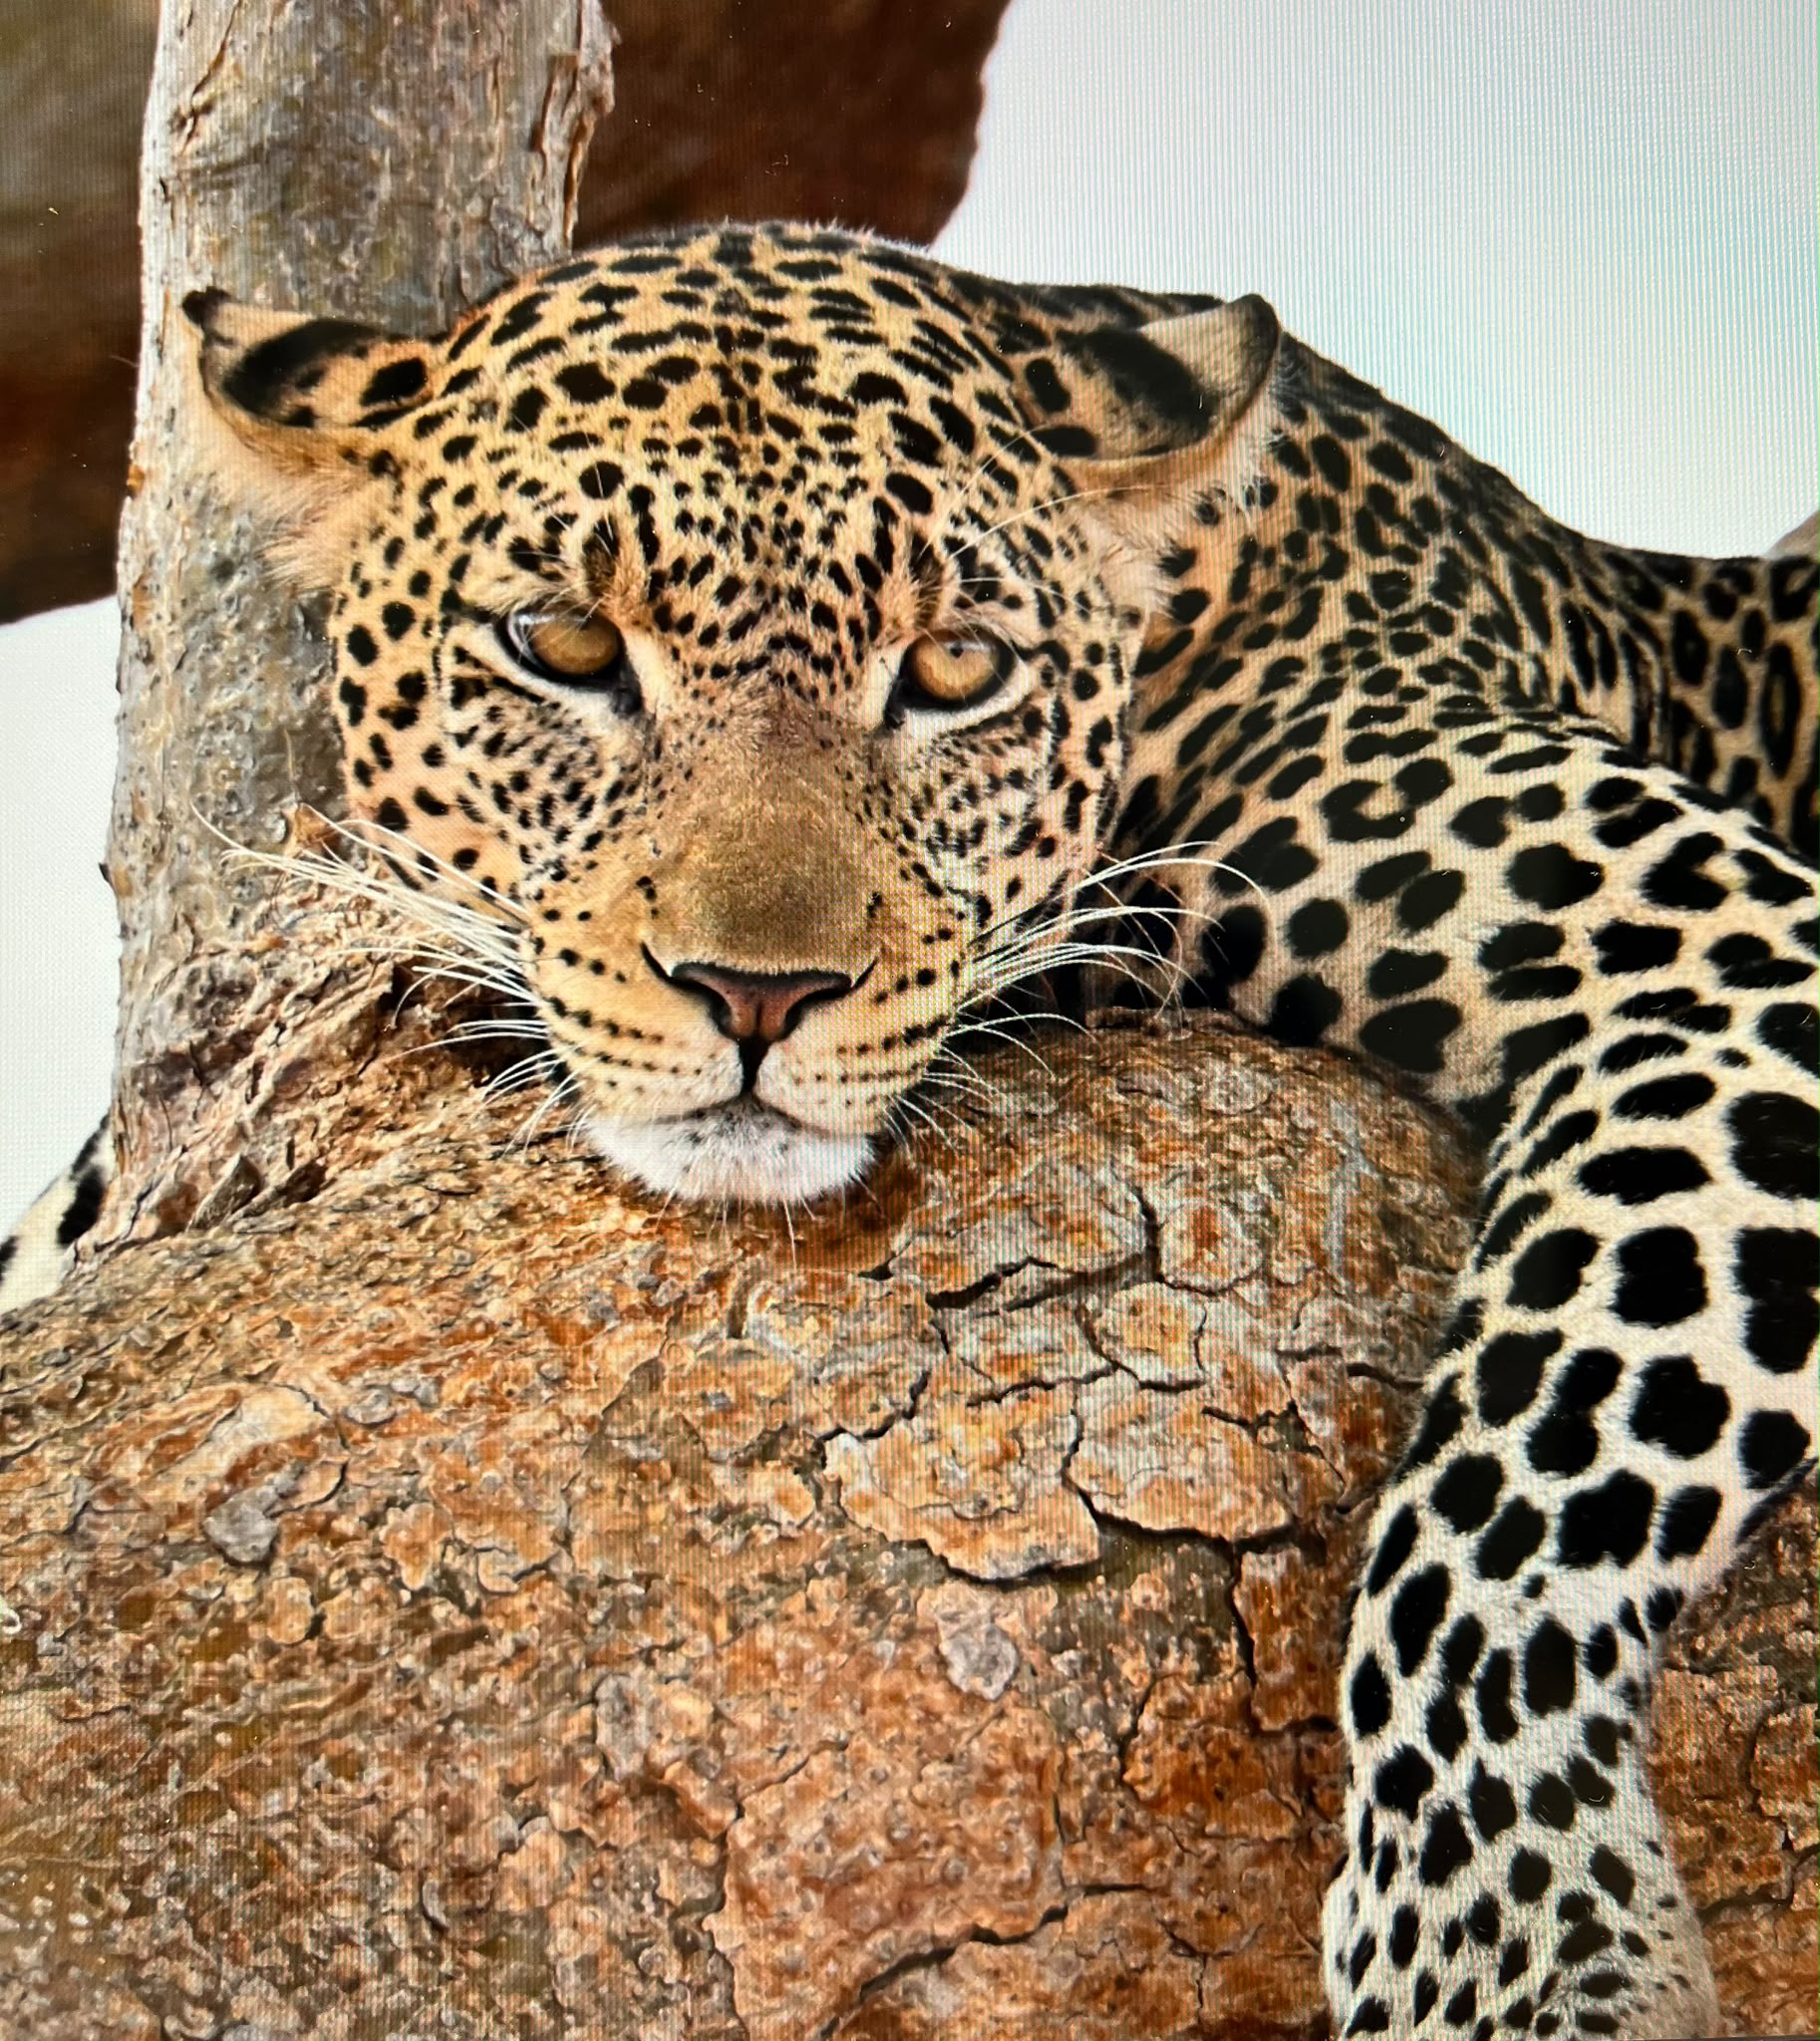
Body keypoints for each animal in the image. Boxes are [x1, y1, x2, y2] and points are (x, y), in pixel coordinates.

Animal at [5, 221, 1818, 2040]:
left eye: (955, 667)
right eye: (564, 645)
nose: (756, 993)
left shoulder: (1726, 946)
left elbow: (1511, 1489)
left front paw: (1517, 1947)